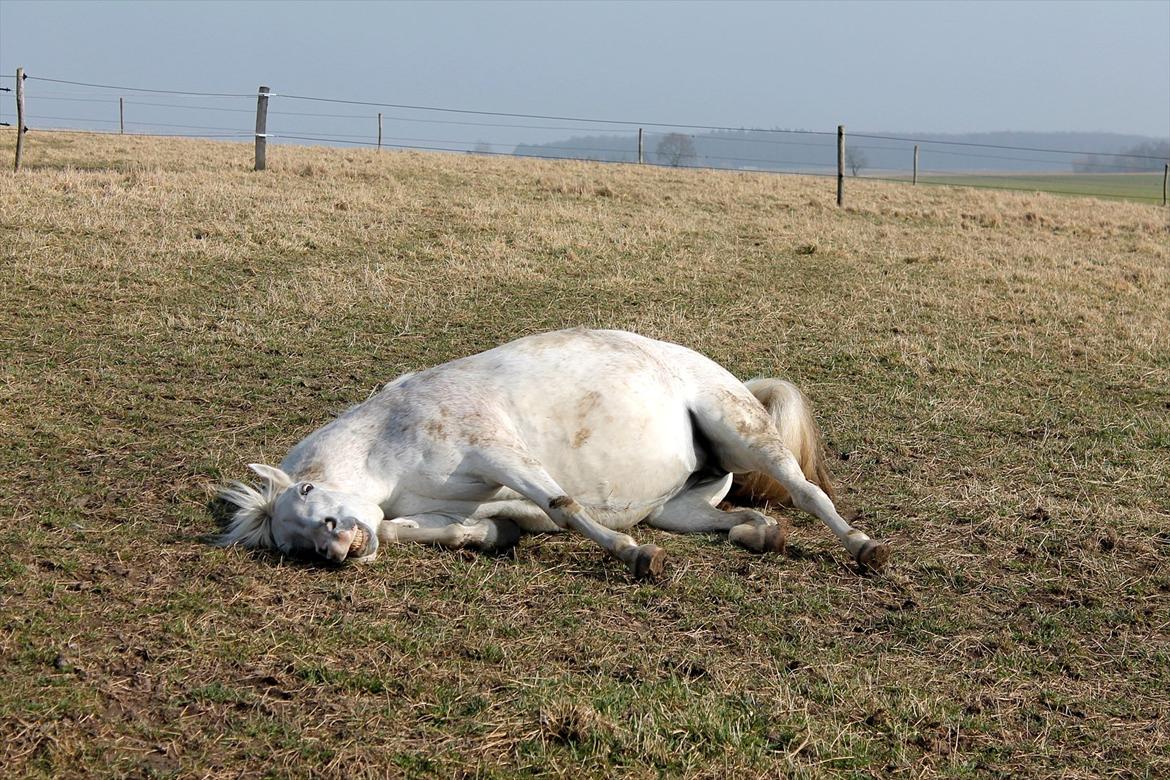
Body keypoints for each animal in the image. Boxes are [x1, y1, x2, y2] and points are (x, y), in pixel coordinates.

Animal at [215, 328, 889, 579]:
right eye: (292, 545)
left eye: (307, 490)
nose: (337, 547)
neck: (387, 443)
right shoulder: (450, 507)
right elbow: (434, 529)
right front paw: (481, 537)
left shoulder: (497, 452)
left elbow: (563, 504)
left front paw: (634, 555)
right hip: (680, 507)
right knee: (738, 517)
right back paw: (760, 534)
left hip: (743, 429)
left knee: (806, 490)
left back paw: (863, 546)